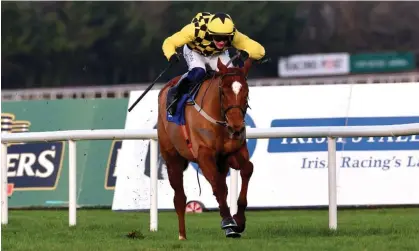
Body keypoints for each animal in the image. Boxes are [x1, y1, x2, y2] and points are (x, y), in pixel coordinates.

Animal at [158, 56, 254, 239]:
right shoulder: (203, 155)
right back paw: (182, 235)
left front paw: (239, 220)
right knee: (179, 197)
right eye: (223, 92)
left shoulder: (232, 152)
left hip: (221, 163)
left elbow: (247, 170)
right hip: (172, 158)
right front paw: (228, 222)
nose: (237, 127)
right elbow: (218, 186)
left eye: (246, 92)